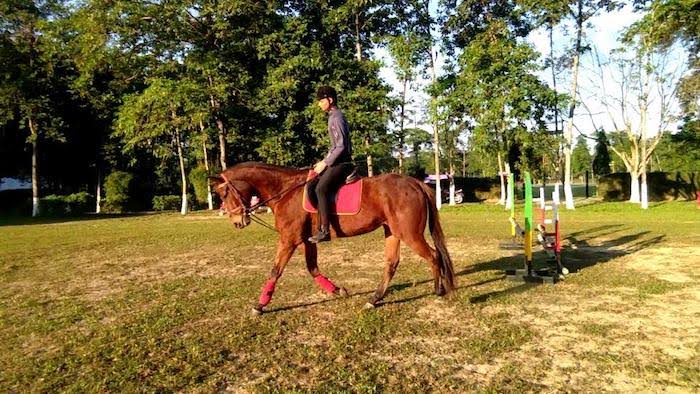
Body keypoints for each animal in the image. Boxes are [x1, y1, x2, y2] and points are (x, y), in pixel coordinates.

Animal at [208, 161, 456, 314]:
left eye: (223, 193)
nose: (237, 222)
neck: (285, 190)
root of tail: (416, 183)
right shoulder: (307, 241)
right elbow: (313, 269)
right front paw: (339, 291)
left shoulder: (289, 240)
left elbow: (275, 271)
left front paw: (260, 306)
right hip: (392, 231)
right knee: (392, 264)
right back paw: (373, 299)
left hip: (409, 233)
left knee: (433, 256)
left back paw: (438, 290)